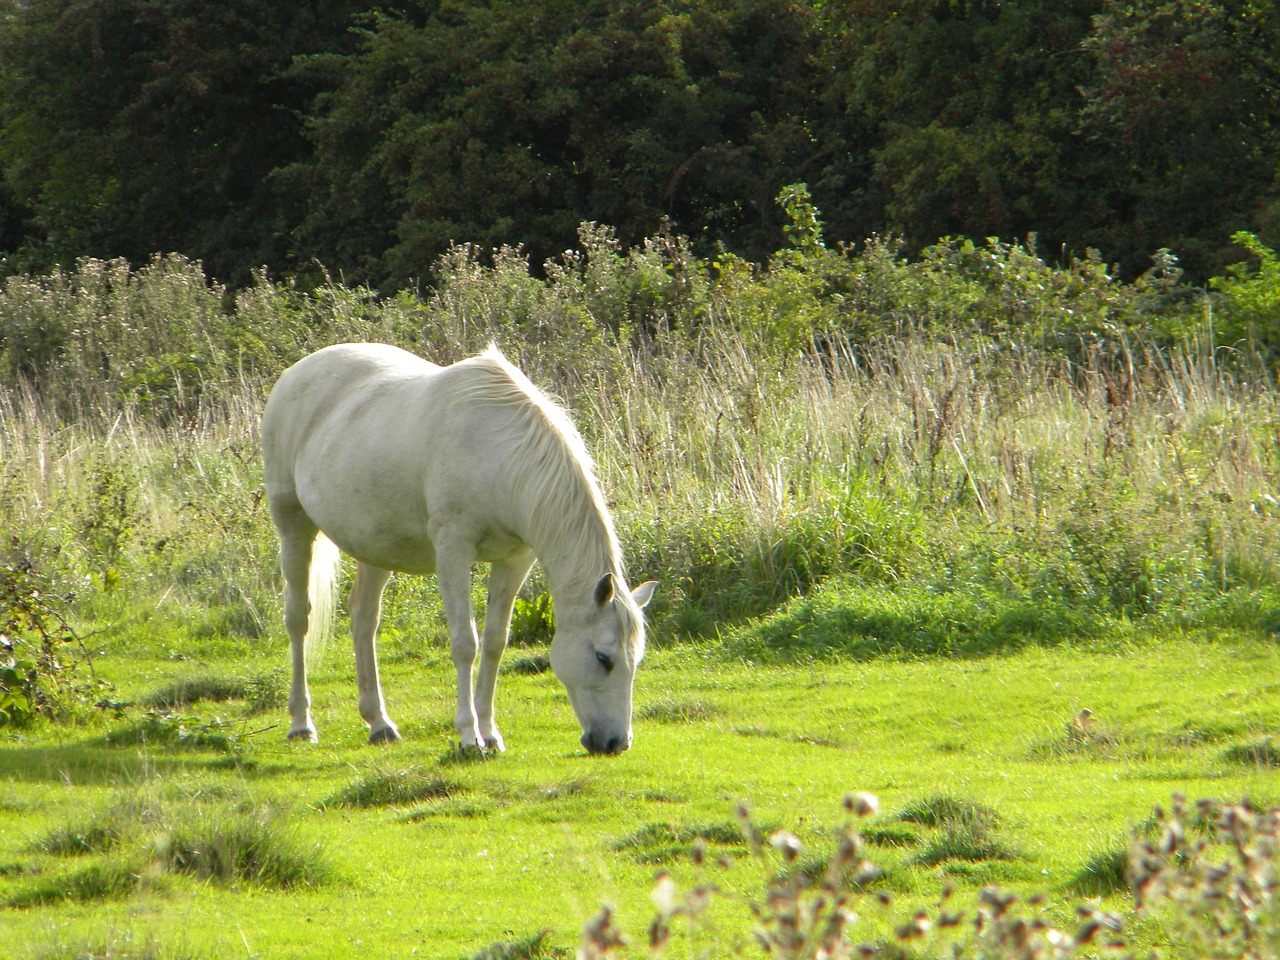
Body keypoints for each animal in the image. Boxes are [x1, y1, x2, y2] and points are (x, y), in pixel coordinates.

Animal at [262, 343, 660, 757]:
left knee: (363, 619)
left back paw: (379, 723)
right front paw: (470, 736)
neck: (498, 455)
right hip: (293, 526)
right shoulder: (453, 549)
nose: (615, 742)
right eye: (603, 658)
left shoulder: (515, 560)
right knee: (298, 618)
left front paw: (491, 733)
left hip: (374, 546)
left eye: (635, 660)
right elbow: (465, 642)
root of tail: (295, 372)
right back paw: (301, 724)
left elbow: (495, 642)